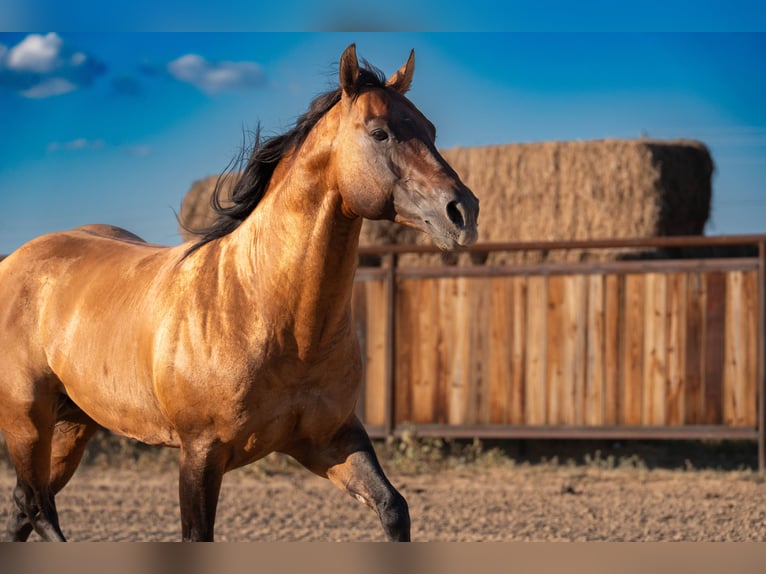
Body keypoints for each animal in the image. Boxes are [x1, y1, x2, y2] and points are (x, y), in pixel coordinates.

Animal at [0, 44, 479, 542]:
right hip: (26, 419)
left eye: (430, 130)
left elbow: (393, 507)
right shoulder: (200, 454)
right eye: (380, 132)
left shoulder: (331, 439)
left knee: (23, 506)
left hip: (73, 423)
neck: (266, 312)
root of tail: (15, 260)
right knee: (35, 504)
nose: (462, 211)